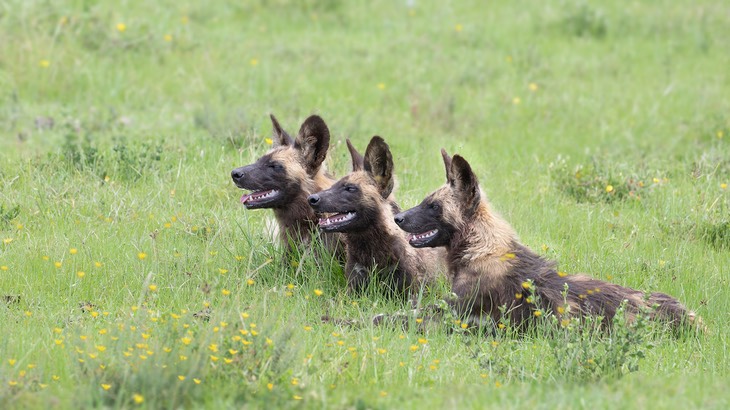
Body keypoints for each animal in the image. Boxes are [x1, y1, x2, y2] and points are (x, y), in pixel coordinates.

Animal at [396, 149, 696, 332]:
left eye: (433, 206)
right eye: (425, 201)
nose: (398, 217)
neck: (479, 248)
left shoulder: (455, 312)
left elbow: (393, 317)